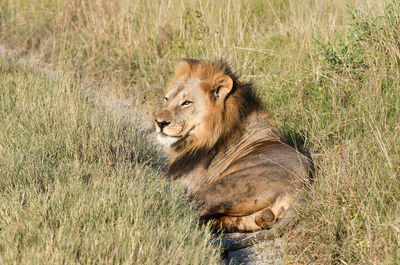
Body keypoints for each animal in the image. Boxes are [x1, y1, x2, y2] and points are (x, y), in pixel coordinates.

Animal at [155, 58, 310, 250]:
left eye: (186, 103)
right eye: (166, 99)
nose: (159, 123)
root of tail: (305, 185)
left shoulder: (183, 182)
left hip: (223, 187)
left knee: (186, 210)